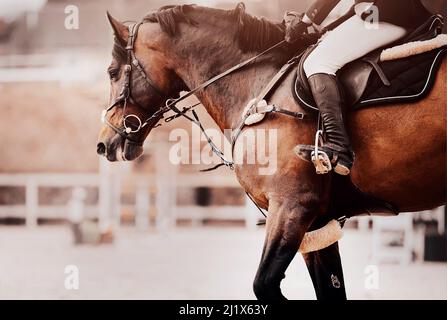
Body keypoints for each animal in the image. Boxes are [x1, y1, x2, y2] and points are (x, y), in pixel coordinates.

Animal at [96, 3, 446, 300]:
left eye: (113, 72)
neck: (257, 87)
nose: (104, 144)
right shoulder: (318, 223)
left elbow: (264, 285)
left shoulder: (293, 206)